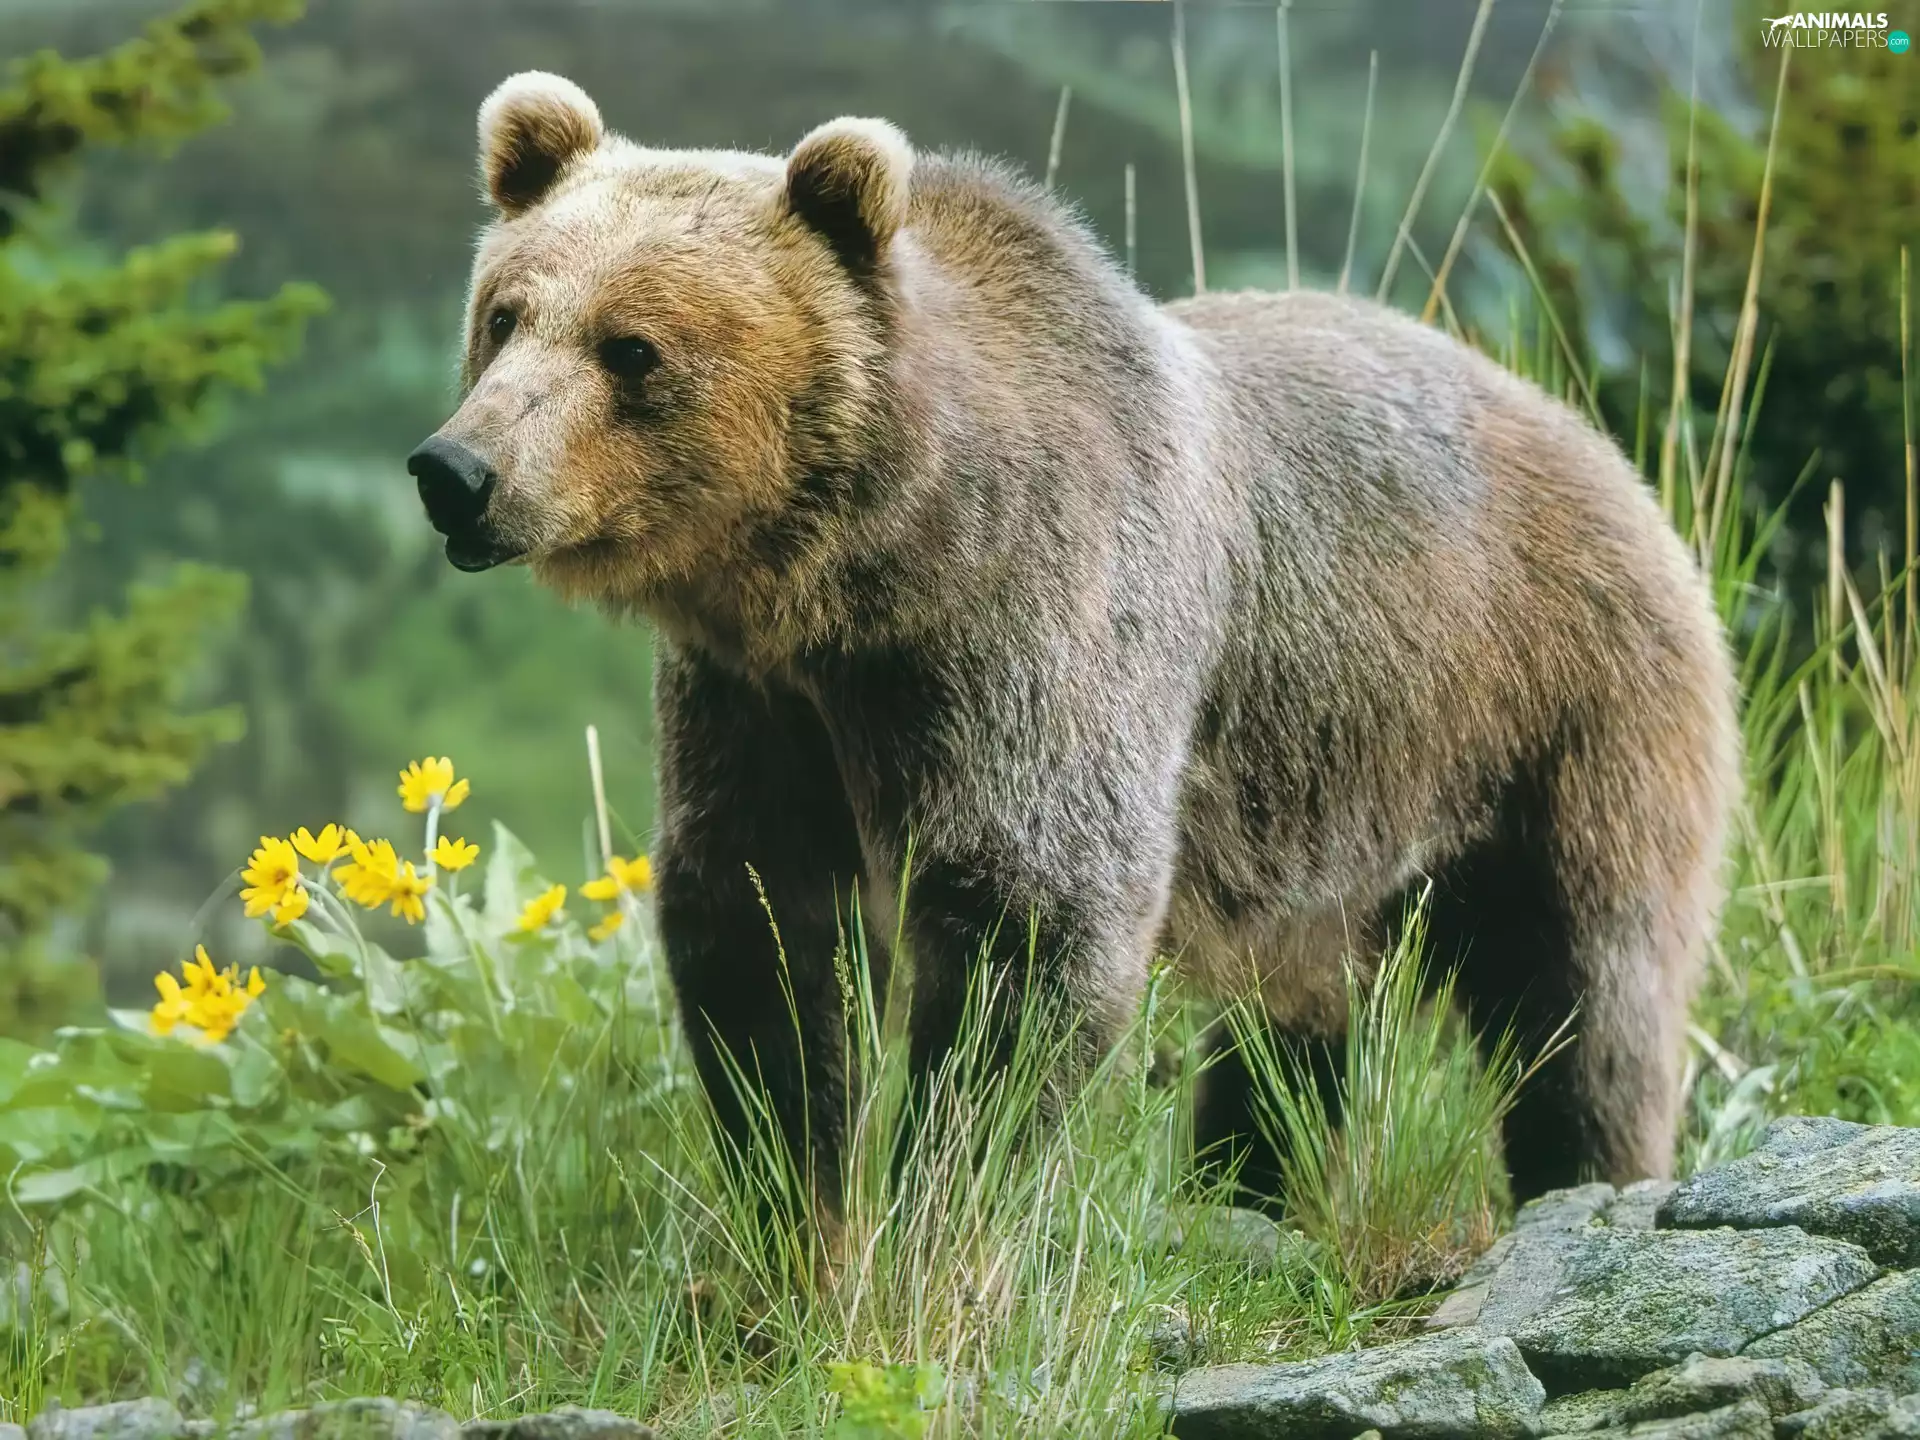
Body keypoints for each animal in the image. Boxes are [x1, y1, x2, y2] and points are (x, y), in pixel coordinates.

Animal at [407, 71, 1740, 1215]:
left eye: (631, 348)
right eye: (506, 316)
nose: (456, 471)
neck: (878, 562)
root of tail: (1611, 454)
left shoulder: (1044, 634)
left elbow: (1031, 918)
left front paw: (942, 1189)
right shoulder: (760, 701)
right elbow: (760, 927)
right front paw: (797, 1188)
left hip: (1555, 710)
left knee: (1586, 985)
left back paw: (1588, 1170)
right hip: (1339, 807)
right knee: (1298, 1005)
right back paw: (1245, 1181)